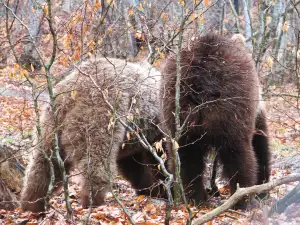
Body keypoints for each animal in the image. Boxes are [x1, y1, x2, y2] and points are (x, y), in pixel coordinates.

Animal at [20, 55, 166, 211]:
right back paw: (93, 201)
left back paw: (31, 204)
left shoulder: (133, 143)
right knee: (96, 160)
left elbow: (136, 166)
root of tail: (72, 91)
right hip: (102, 111)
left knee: (44, 163)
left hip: (51, 124)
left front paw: (149, 190)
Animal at [161, 33, 270, 206]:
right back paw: (242, 198)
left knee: (185, 157)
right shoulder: (255, 111)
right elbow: (261, 144)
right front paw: (263, 188)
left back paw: (196, 198)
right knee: (238, 153)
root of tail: (199, 79)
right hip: (232, 106)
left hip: (175, 111)